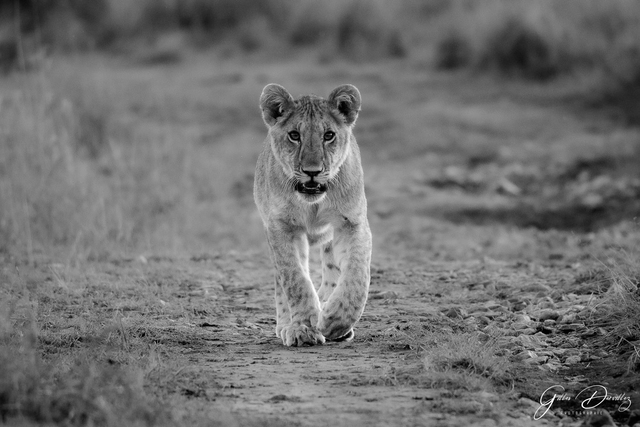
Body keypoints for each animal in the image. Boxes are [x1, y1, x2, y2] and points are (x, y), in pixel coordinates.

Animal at [254, 83, 372, 347]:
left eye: (328, 135)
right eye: (294, 135)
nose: (312, 172)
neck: (314, 204)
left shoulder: (352, 223)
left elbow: (356, 277)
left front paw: (335, 320)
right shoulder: (281, 228)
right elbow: (295, 279)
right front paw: (304, 326)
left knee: (332, 272)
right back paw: (286, 325)